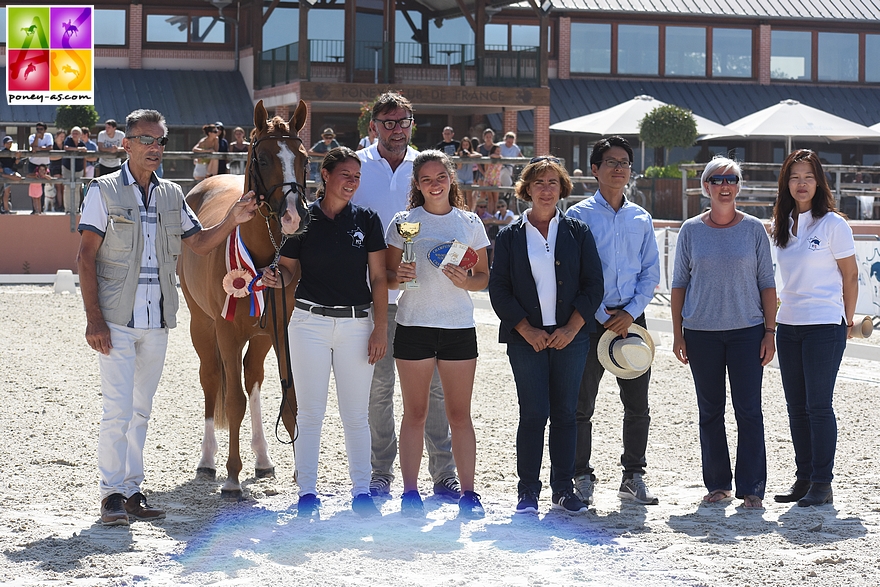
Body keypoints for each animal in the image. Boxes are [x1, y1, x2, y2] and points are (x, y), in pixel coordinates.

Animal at [178, 99, 310, 499]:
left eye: (304, 159)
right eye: (263, 159)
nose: (294, 216)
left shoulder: (282, 333)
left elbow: (290, 400)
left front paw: (301, 475)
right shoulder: (227, 334)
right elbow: (232, 400)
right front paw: (232, 477)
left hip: (262, 337)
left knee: (253, 379)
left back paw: (264, 459)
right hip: (202, 326)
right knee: (211, 380)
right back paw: (208, 461)